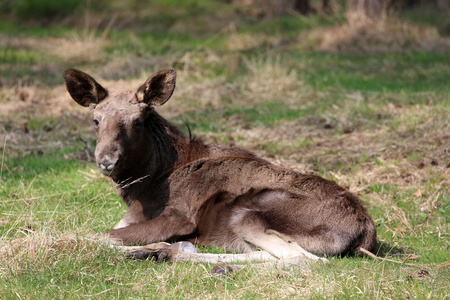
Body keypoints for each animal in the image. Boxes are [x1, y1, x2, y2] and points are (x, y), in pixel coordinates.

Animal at [63, 68, 376, 264]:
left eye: (137, 121)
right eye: (96, 120)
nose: (107, 161)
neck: (144, 187)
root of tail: (366, 233)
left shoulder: (179, 217)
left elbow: (96, 235)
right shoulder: (132, 216)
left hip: (249, 213)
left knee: (302, 260)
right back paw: (166, 251)